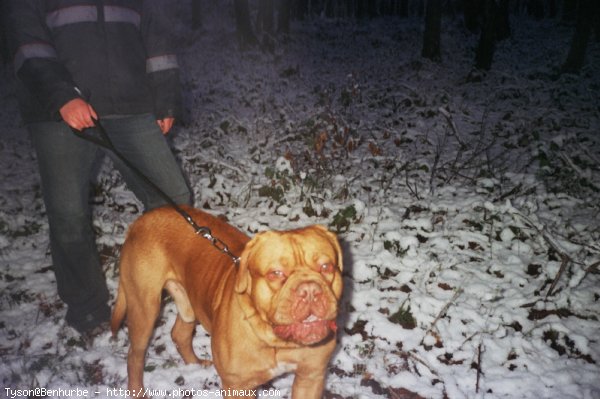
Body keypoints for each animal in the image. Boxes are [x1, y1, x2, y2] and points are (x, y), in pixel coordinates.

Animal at [111, 208, 342, 398]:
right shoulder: (238, 387)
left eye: (327, 267)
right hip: (144, 308)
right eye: (275, 274)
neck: (276, 342)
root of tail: (142, 219)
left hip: (188, 301)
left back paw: (196, 365)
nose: (310, 290)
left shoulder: (310, 377)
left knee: (180, 333)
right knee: (135, 355)